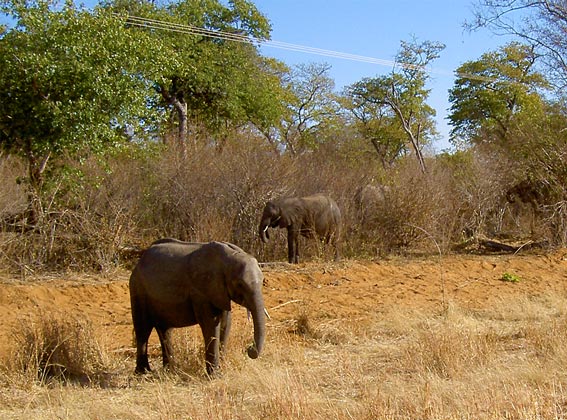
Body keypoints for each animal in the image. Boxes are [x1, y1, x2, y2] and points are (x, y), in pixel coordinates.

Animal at [130, 238, 268, 376]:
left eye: (262, 281)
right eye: (240, 284)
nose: (248, 349)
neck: (229, 257)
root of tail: (140, 260)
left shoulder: (219, 291)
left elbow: (226, 323)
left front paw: (224, 368)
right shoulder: (201, 291)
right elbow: (210, 325)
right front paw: (215, 375)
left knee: (164, 330)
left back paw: (169, 371)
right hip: (138, 290)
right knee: (143, 330)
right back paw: (143, 373)